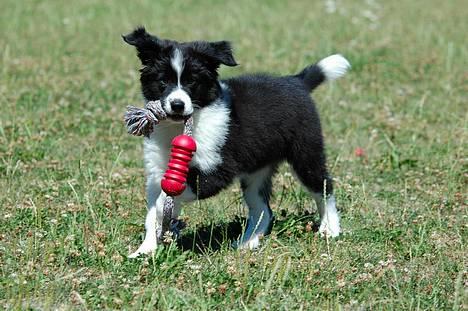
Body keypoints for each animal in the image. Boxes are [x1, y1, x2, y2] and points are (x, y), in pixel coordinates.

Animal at [122, 27, 350, 258]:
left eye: (192, 82)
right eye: (163, 82)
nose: (177, 105)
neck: (177, 127)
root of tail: (297, 81)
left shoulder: (216, 168)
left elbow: (174, 193)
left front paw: (167, 212)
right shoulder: (156, 171)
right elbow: (152, 212)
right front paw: (145, 251)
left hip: (305, 152)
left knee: (323, 188)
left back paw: (330, 228)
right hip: (256, 170)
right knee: (263, 209)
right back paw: (247, 242)